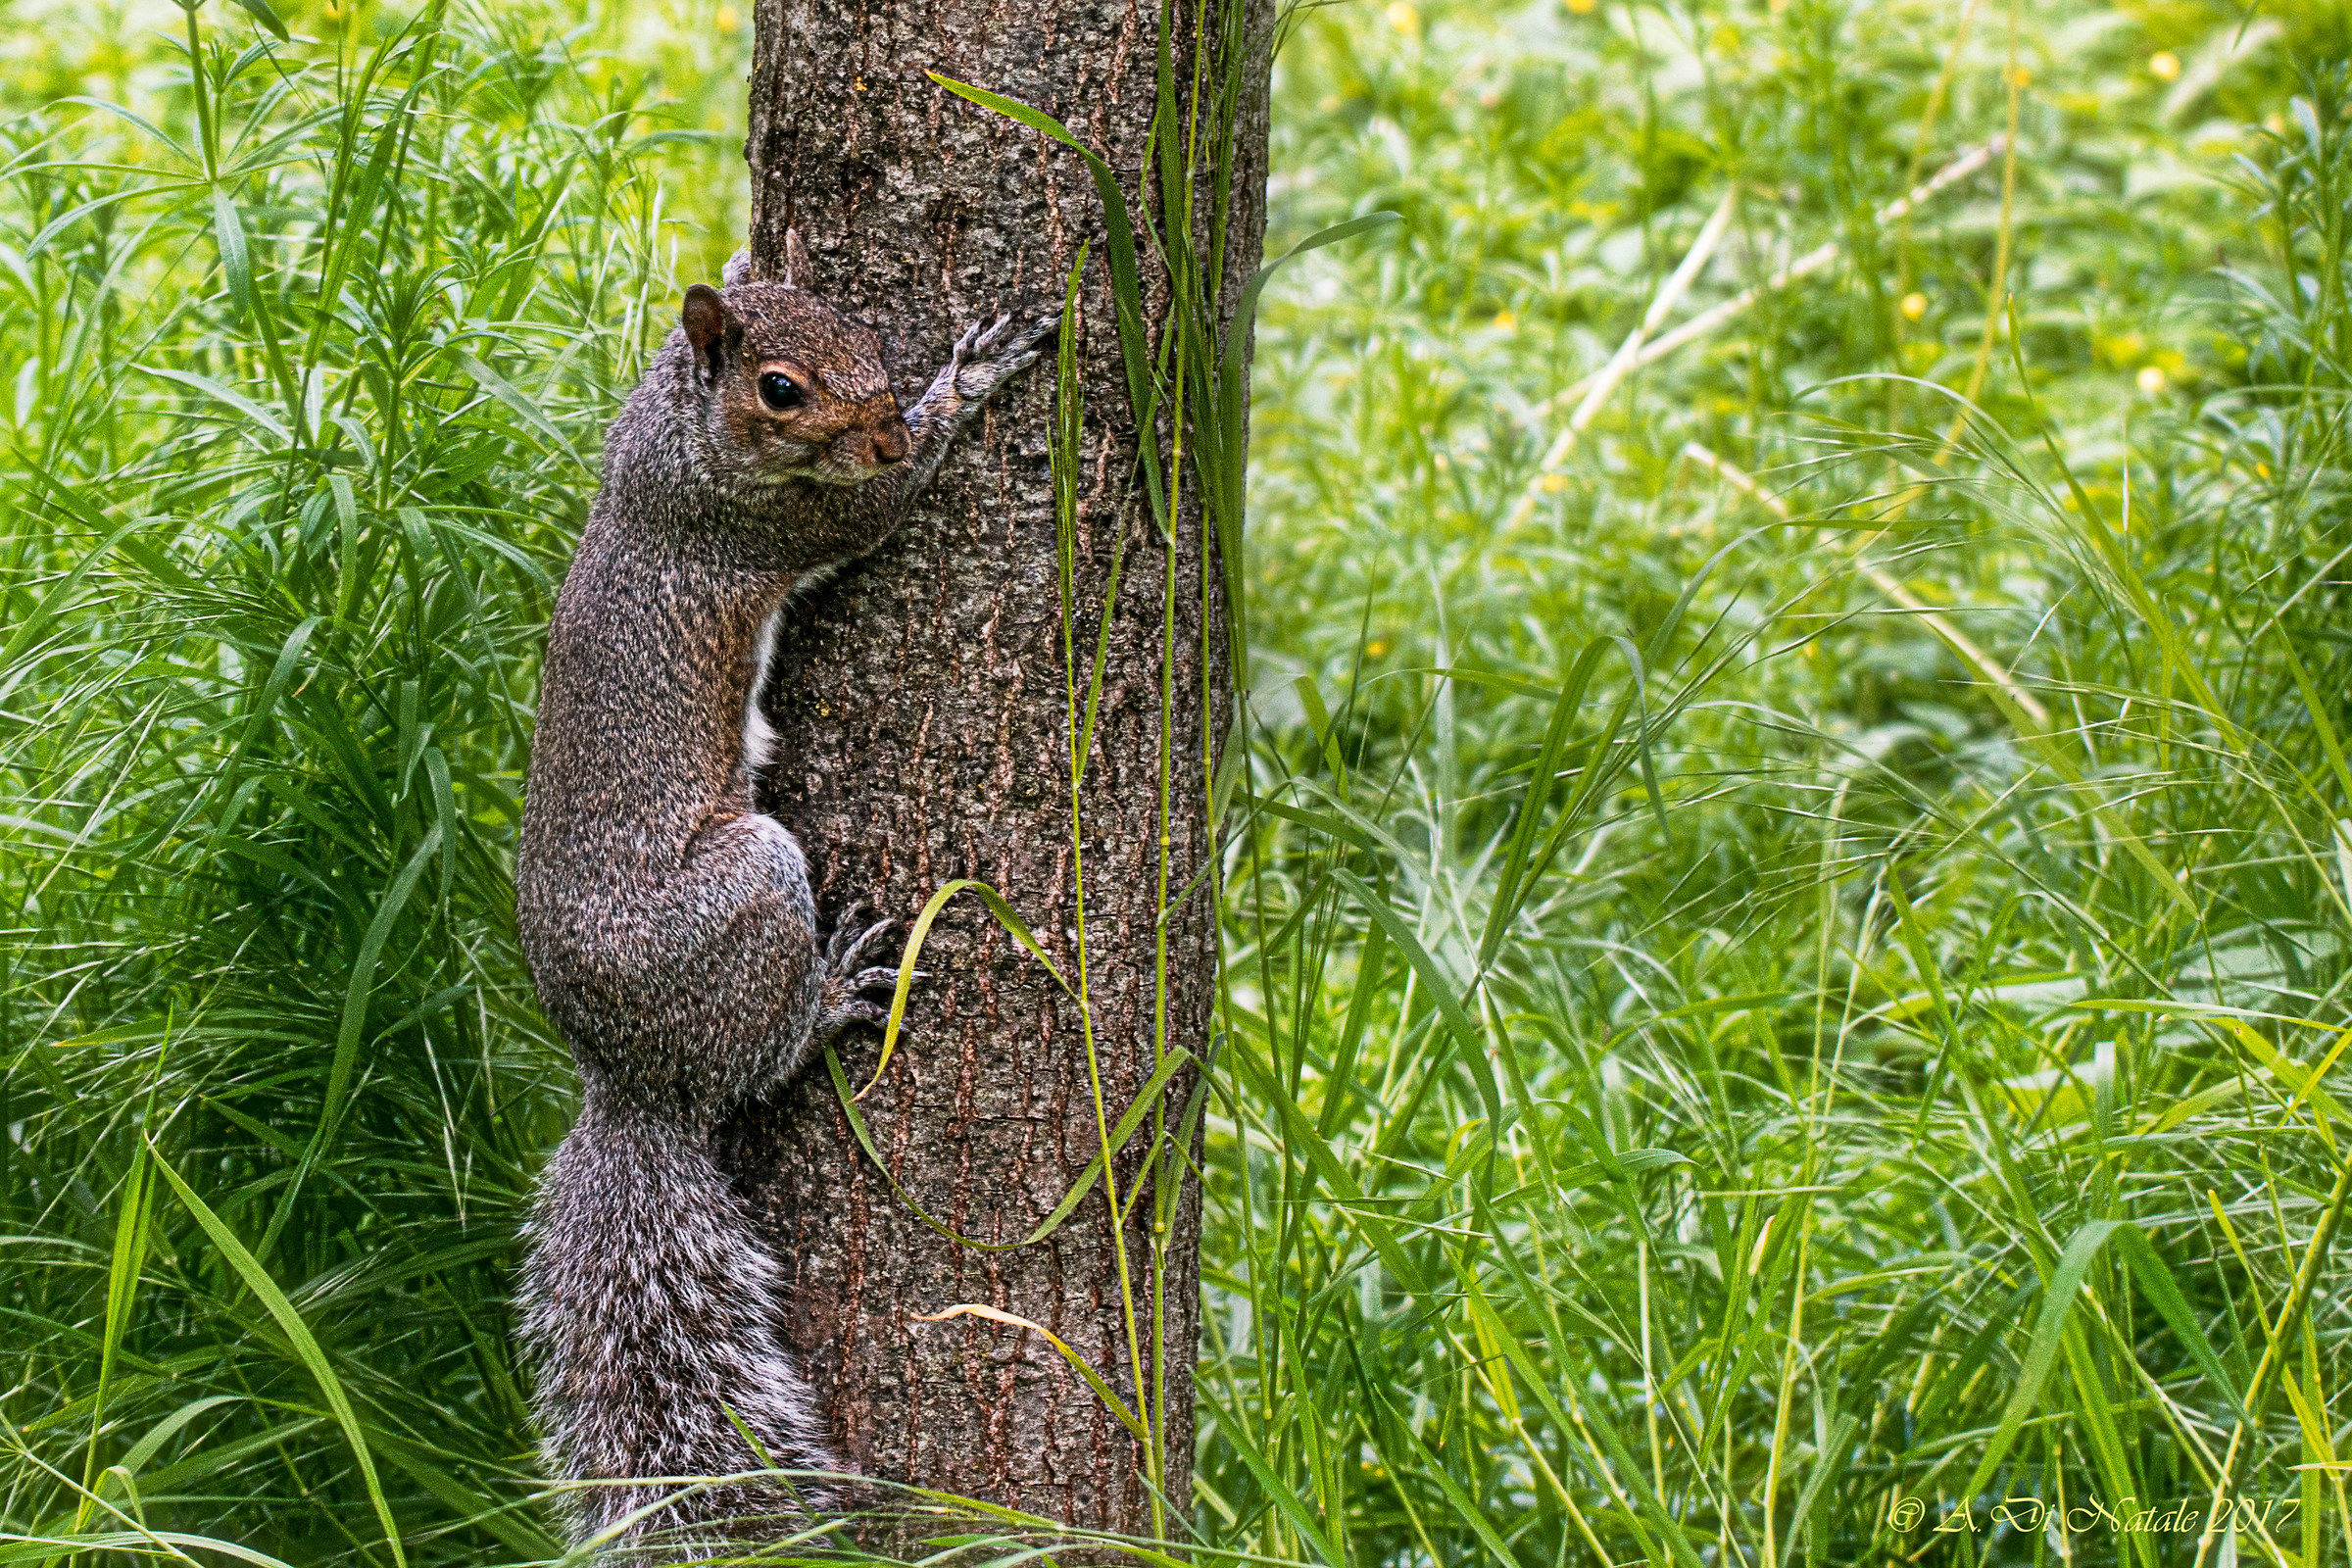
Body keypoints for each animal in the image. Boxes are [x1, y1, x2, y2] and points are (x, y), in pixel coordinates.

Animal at [514, 229, 1052, 1553]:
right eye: (782, 389)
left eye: (858, 325)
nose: (884, 431)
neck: (679, 428)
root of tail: (630, 1077)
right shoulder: (774, 520)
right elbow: (878, 507)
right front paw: (972, 376)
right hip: (751, 884)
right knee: (759, 1057)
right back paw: (832, 993)